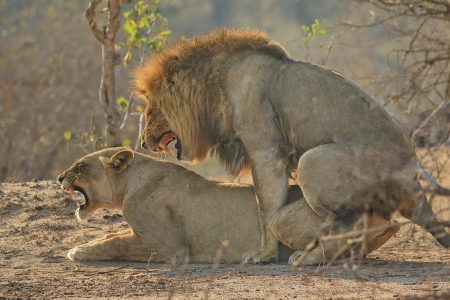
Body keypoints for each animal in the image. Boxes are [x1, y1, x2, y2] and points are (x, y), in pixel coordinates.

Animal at [58, 149, 400, 264]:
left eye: (80, 166)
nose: (60, 176)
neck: (129, 183)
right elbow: (109, 236)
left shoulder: (169, 246)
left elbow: (114, 243)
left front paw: (78, 251)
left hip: (284, 219)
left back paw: (305, 258)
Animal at [135, 28, 450, 262]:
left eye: (149, 111)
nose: (143, 142)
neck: (215, 83)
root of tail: (411, 175)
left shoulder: (264, 148)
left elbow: (266, 207)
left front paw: (263, 255)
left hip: (313, 161)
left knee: (347, 223)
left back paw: (310, 258)